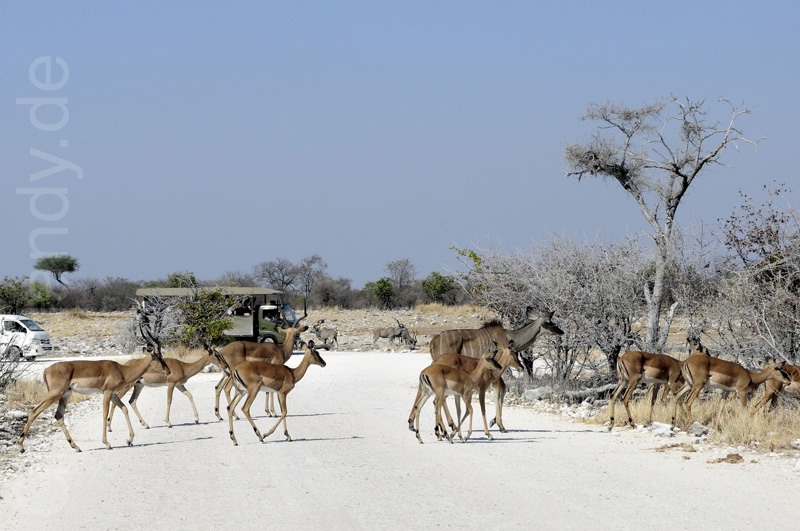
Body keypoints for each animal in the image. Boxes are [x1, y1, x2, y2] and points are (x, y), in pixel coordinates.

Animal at [424, 308, 564, 432]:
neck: (510, 336)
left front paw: (494, 421)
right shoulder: (498, 369)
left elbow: (503, 389)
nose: (561, 331)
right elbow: (500, 390)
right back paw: (450, 425)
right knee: (439, 398)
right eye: (549, 322)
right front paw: (499, 424)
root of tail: (432, 342)